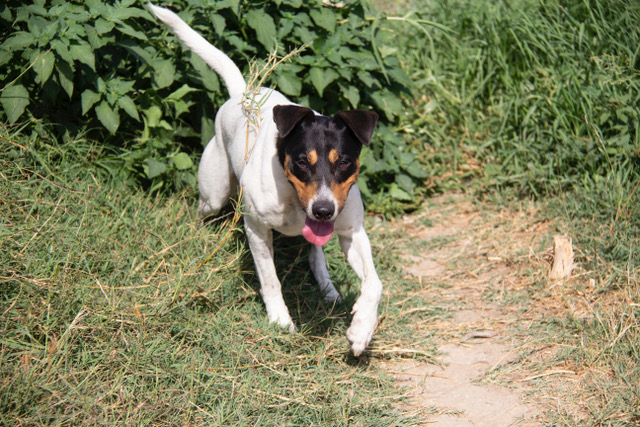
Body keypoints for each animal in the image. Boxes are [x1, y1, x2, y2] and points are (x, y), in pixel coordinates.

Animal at [149, 4, 383, 356]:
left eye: (343, 162)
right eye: (301, 161)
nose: (323, 210)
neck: (295, 203)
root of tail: (242, 93)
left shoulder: (351, 231)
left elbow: (374, 283)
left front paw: (361, 329)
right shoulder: (256, 228)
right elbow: (270, 278)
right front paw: (280, 320)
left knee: (315, 253)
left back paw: (327, 288)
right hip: (214, 193)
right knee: (204, 211)